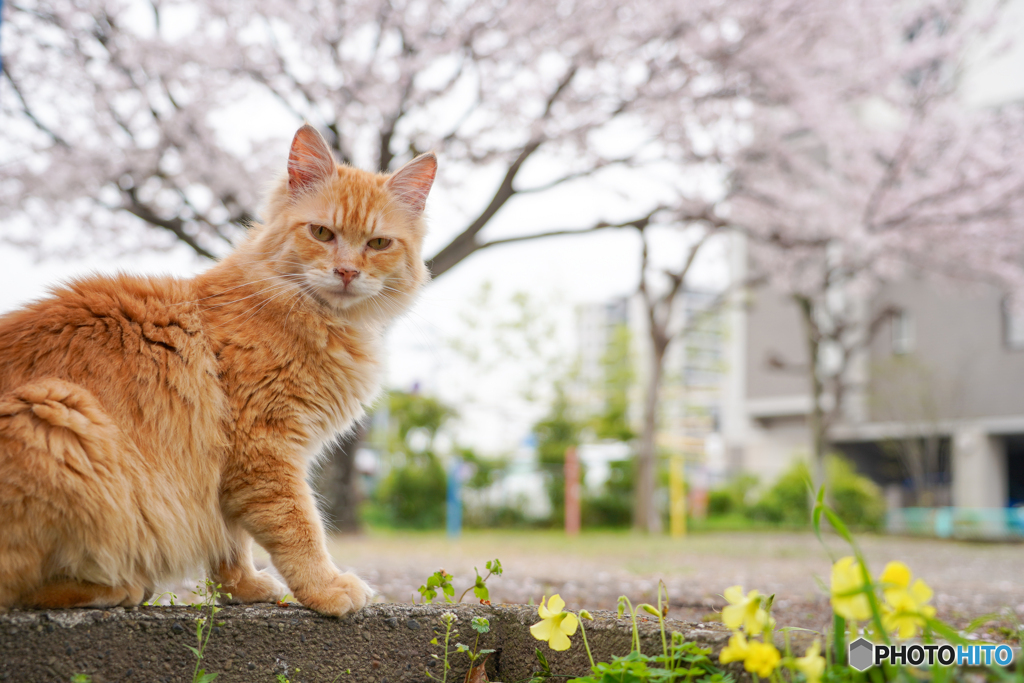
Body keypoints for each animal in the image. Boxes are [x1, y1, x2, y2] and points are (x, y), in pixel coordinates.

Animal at [0, 125, 436, 618]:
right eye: (322, 233)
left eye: (378, 244)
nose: (346, 272)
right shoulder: (263, 448)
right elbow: (298, 527)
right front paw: (326, 588)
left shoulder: (230, 464)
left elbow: (231, 540)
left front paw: (242, 588)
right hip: (54, 412)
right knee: (20, 591)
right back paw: (116, 588)